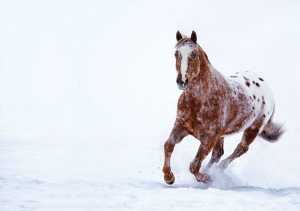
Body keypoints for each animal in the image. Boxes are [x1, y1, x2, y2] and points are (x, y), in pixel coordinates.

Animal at [163, 30, 284, 185]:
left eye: (194, 54)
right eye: (176, 53)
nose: (182, 81)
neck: (199, 101)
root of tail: (266, 87)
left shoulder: (209, 138)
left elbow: (194, 165)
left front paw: (207, 178)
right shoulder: (181, 125)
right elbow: (169, 145)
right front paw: (169, 177)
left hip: (252, 130)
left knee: (240, 149)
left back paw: (219, 169)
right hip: (221, 136)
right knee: (218, 154)